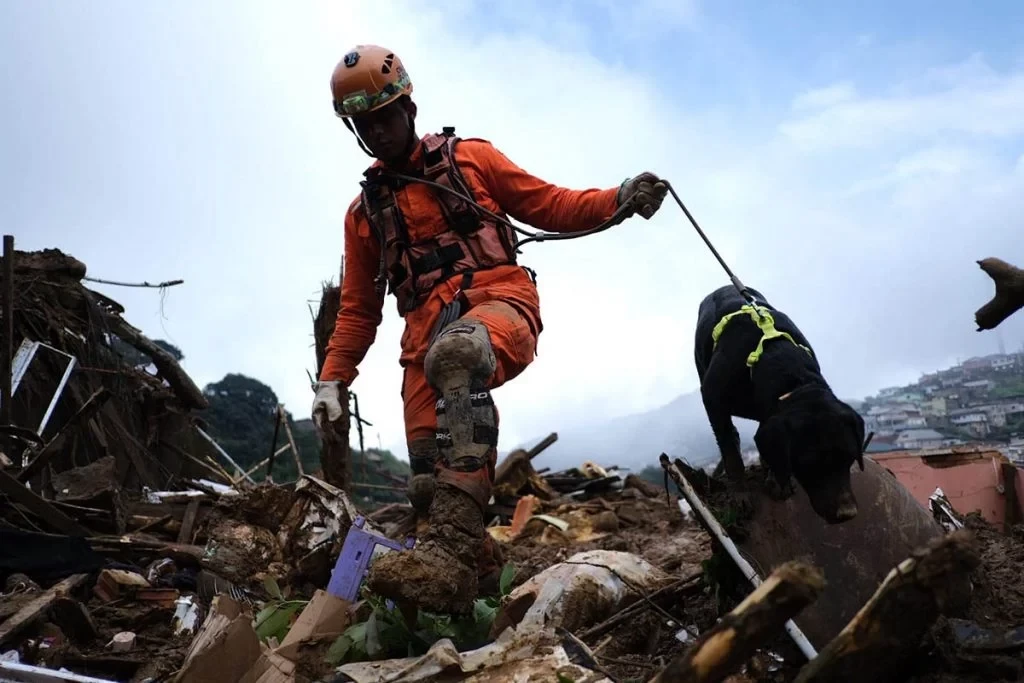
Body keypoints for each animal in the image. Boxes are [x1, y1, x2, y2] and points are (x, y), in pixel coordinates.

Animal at [696, 282, 864, 524]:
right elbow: (730, 452)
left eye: (849, 458)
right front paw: (740, 493)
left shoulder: (769, 408)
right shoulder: (712, 397)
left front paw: (776, 477)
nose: (847, 514)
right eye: (810, 464)